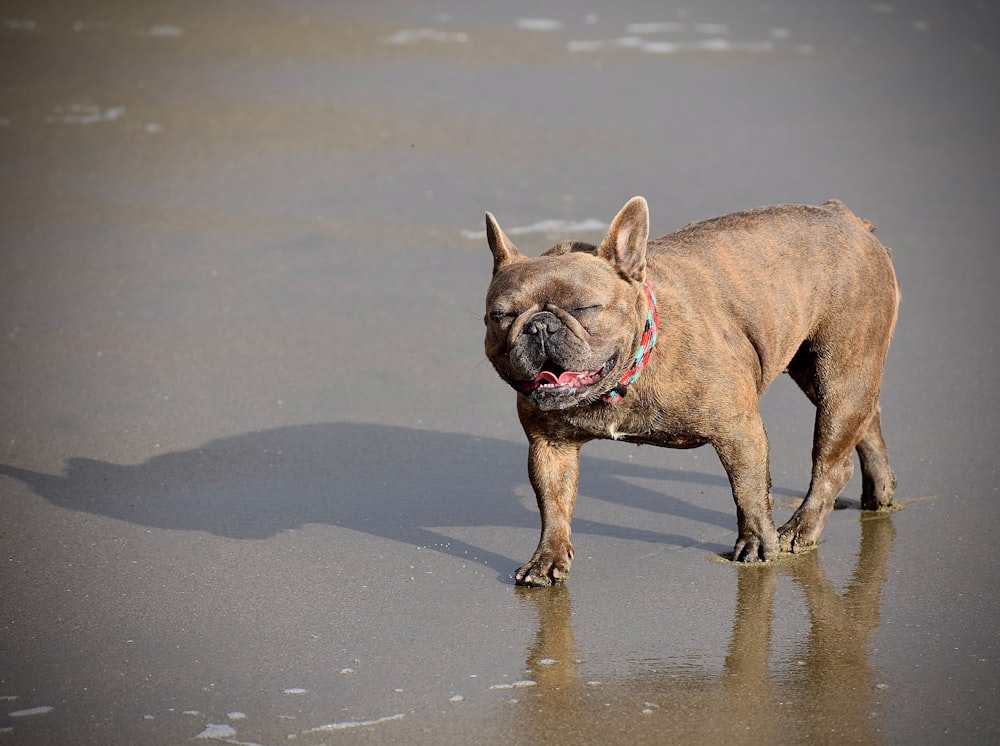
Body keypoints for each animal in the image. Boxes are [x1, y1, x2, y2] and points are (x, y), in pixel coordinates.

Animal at [484, 195, 900, 584]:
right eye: (500, 316)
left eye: (585, 308)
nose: (539, 326)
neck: (627, 376)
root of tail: (844, 216)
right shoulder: (550, 447)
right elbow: (553, 505)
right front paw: (547, 558)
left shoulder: (738, 432)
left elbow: (748, 491)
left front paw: (757, 545)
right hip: (818, 373)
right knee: (868, 420)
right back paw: (879, 493)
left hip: (841, 373)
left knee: (834, 458)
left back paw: (800, 529)